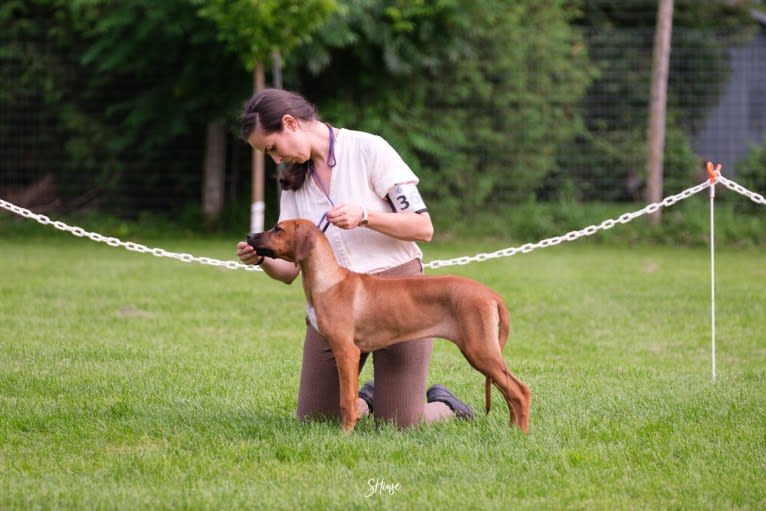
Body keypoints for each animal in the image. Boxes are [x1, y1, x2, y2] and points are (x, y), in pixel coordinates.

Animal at [249, 218, 532, 434]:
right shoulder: (349, 353)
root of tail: (491, 294)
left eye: (278, 229)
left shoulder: (346, 351)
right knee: (509, 392)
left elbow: (346, 399)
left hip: (480, 349)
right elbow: (349, 397)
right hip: (483, 351)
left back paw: (519, 435)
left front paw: (344, 434)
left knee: (520, 391)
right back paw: (511, 429)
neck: (328, 281)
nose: (250, 235)